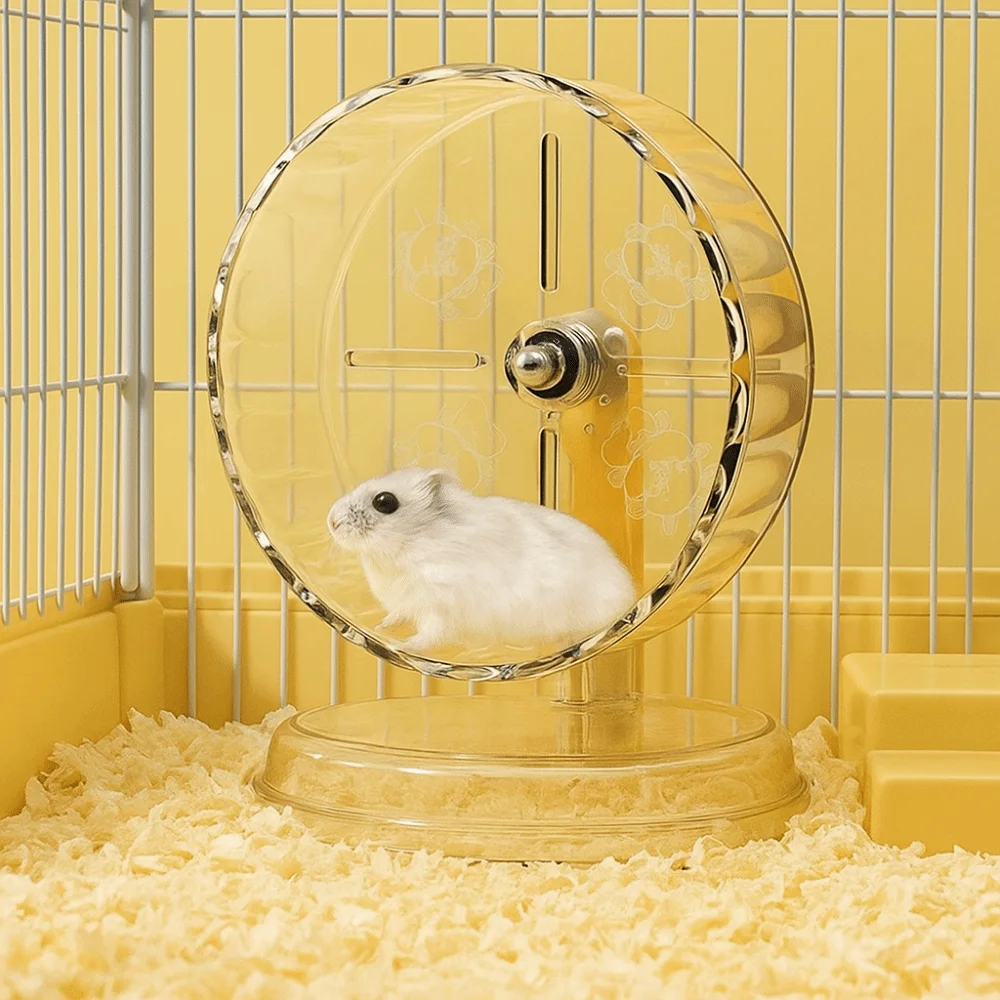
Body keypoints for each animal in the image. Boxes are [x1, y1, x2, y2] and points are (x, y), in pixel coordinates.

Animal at [327, 466, 637, 654]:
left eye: (384, 501)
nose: (332, 521)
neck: (411, 543)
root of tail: (630, 599)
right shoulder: (408, 602)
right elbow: (397, 615)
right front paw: (382, 628)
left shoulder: (439, 606)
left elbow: (430, 635)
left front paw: (405, 645)